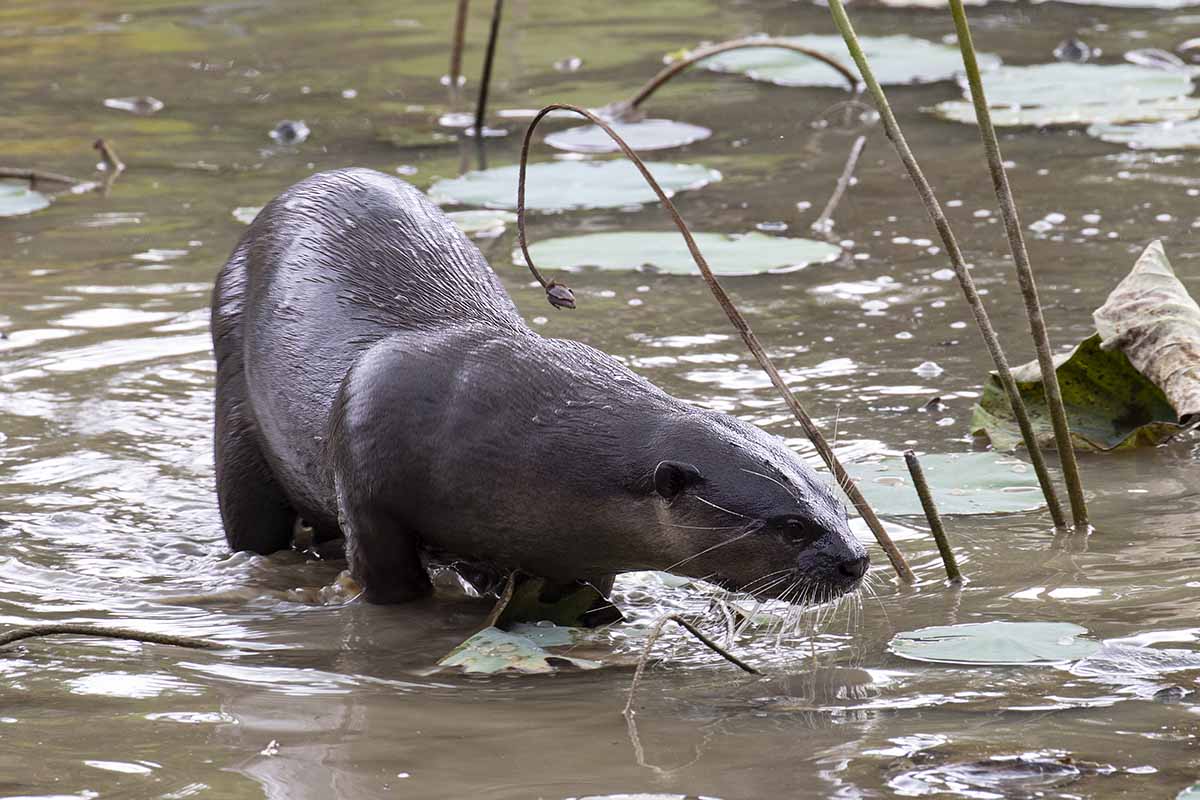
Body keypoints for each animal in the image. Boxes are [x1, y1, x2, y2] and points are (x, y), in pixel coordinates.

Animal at [211, 168, 868, 605]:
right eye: (790, 526)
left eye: (841, 504)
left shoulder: (579, 552)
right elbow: (392, 585)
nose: (856, 560)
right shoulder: (369, 484)